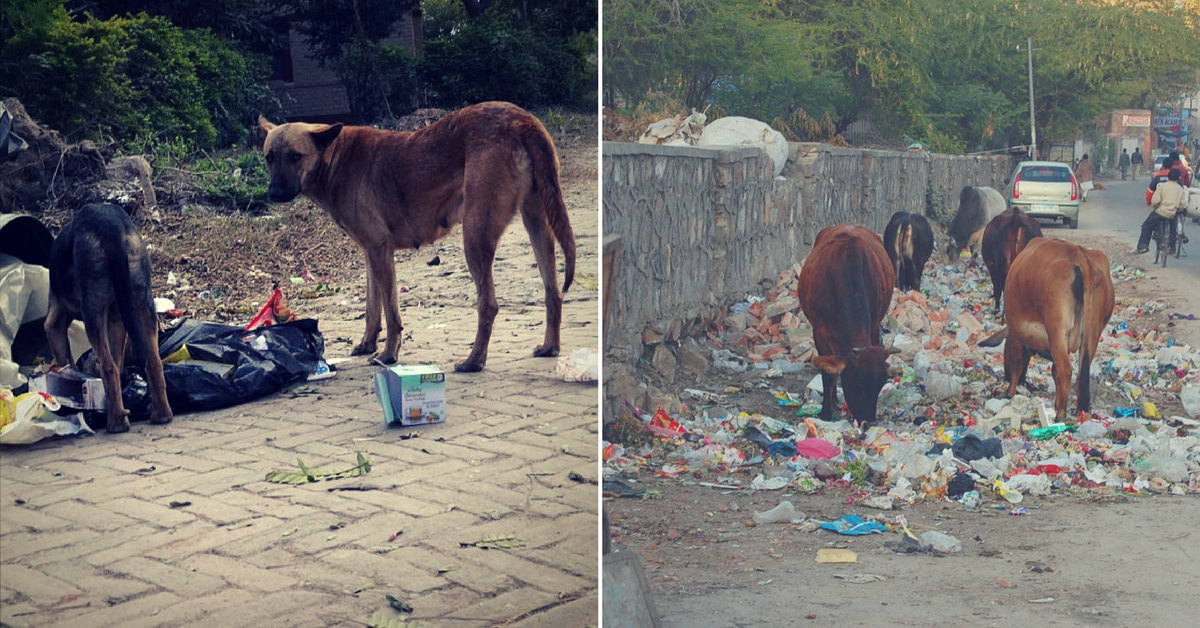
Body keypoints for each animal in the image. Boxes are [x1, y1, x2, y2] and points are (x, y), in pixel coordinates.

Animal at [260, 100, 578, 372]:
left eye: (295, 156)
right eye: (269, 158)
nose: (273, 194)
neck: (335, 157)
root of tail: (522, 120)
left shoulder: (380, 250)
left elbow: (391, 314)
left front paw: (388, 355)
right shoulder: (371, 253)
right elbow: (372, 307)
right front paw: (367, 344)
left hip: (475, 235)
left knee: (488, 305)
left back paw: (474, 361)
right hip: (537, 224)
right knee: (553, 293)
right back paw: (550, 347)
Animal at [801, 223, 897, 425]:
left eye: (882, 382)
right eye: (859, 382)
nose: (869, 421)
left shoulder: (874, 326)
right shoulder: (819, 333)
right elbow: (828, 373)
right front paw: (825, 413)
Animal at [974, 238, 1113, 425]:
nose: (1006, 377)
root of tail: (1080, 257)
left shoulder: (1016, 333)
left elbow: (1018, 364)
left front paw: (1010, 393)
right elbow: (1054, 371)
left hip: (1057, 330)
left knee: (1065, 370)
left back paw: (1060, 415)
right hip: (1092, 334)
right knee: (1080, 375)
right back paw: (1080, 412)